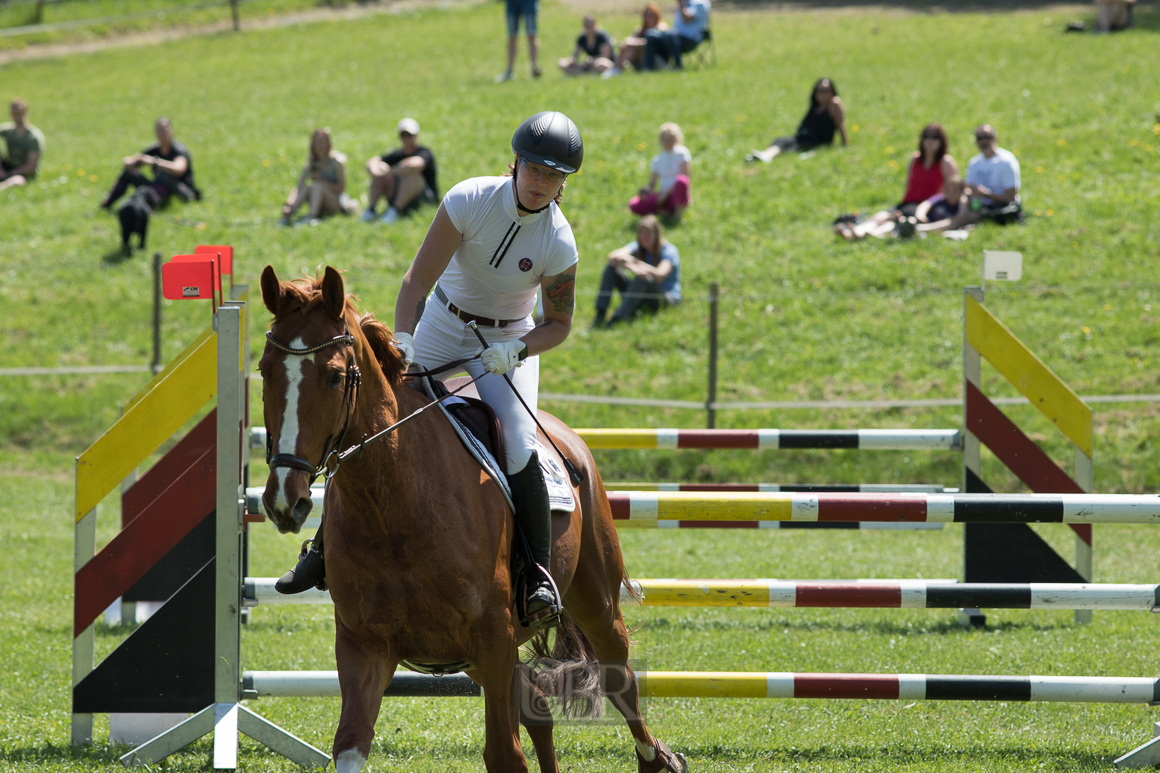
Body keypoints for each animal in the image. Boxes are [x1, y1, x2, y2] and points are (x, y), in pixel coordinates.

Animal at [258, 266, 682, 770]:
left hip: (595, 603)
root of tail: (567, 436)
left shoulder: (493, 635)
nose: (285, 499)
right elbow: (350, 744)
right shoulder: (364, 644)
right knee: (538, 705)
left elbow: (504, 754)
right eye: (263, 371)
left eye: (335, 377)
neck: (395, 508)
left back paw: (658, 758)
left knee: (622, 681)